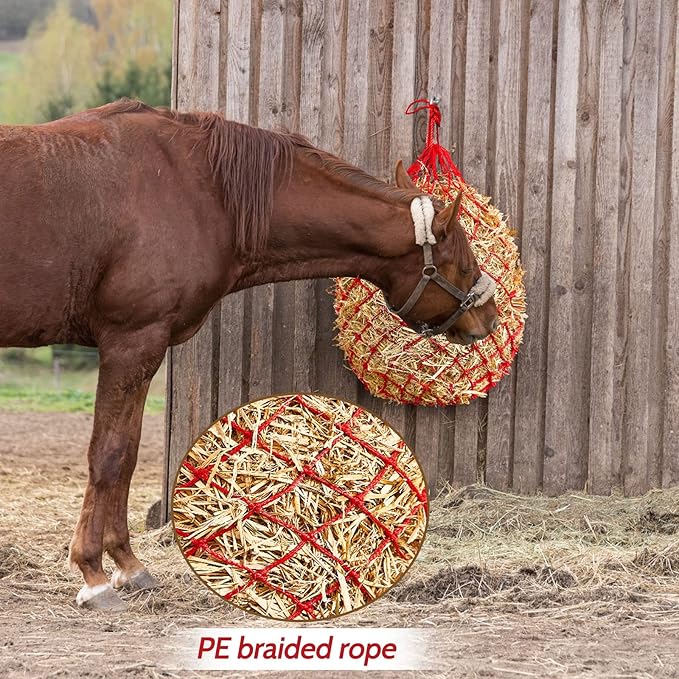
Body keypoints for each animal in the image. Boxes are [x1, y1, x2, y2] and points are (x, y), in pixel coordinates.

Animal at [0, 99, 497, 610]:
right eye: (462, 264)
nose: (491, 317)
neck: (198, 191)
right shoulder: (131, 342)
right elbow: (109, 455)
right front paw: (93, 575)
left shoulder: (141, 351)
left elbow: (129, 453)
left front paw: (128, 566)